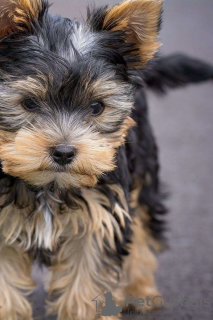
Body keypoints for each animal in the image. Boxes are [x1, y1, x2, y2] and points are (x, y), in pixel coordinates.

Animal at [0, 0, 213, 320]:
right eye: (29, 103)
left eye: (96, 107)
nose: (64, 152)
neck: (50, 185)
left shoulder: (100, 217)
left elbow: (86, 283)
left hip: (143, 167)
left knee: (142, 225)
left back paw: (139, 290)